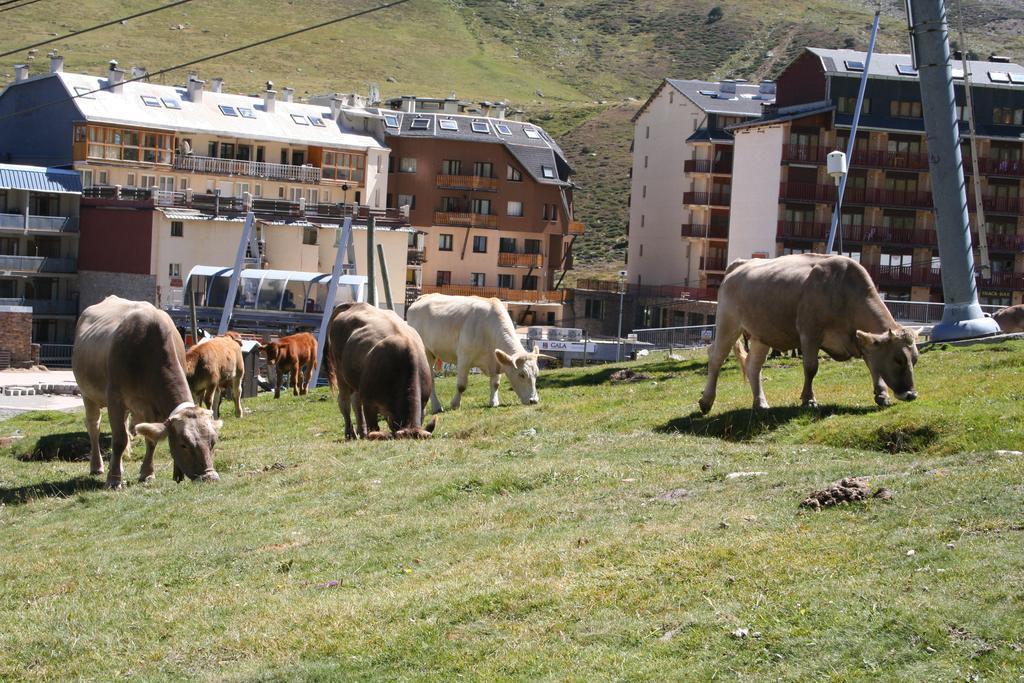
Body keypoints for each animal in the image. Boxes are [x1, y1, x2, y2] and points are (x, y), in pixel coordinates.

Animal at [72, 296, 224, 489]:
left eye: (212, 442)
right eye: (183, 444)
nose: (210, 477)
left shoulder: (153, 407)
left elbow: (150, 440)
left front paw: (147, 474)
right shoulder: (115, 398)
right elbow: (119, 439)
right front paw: (113, 480)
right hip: (88, 394)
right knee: (94, 426)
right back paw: (97, 466)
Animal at [323, 301, 436, 440]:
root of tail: (355, 304)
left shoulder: (423, 404)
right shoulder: (369, 402)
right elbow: (374, 427)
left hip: (356, 380)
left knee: (356, 403)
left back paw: (362, 432)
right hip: (341, 374)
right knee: (344, 402)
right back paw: (350, 434)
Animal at [403, 292, 557, 411]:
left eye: (536, 374)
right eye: (522, 375)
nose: (533, 400)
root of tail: (421, 298)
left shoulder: (496, 360)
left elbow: (495, 383)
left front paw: (494, 402)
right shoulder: (464, 358)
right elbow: (461, 385)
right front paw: (455, 404)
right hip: (426, 351)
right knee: (431, 379)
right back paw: (436, 407)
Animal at [700, 253, 925, 413]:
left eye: (914, 359)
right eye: (897, 360)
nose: (911, 395)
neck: (842, 292)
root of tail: (741, 264)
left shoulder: (862, 340)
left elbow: (873, 366)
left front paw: (882, 394)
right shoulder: (809, 333)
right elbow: (811, 368)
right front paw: (808, 399)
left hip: (761, 334)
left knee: (753, 365)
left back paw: (760, 403)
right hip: (729, 323)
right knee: (716, 357)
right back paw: (706, 401)